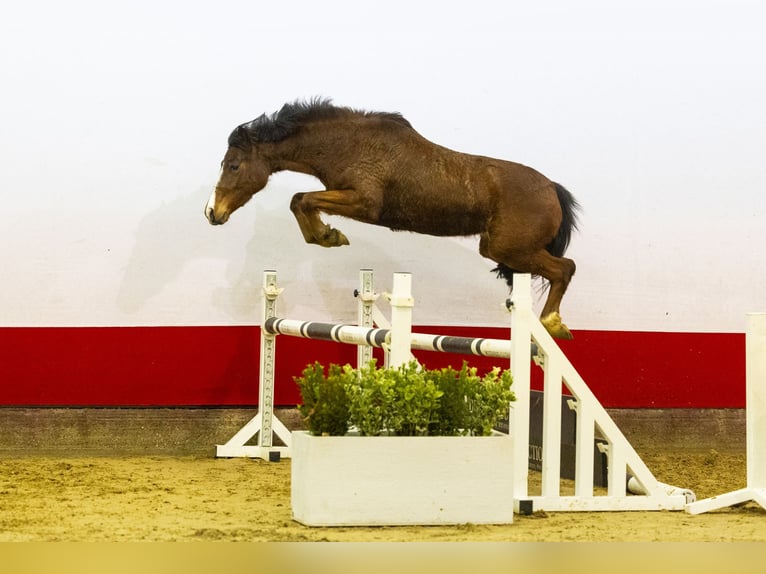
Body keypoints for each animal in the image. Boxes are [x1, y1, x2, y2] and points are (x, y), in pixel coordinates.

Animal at [206, 98, 584, 340]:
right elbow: (301, 201)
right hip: (497, 249)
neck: (346, 143)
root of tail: (551, 188)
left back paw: (552, 324)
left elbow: (301, 199)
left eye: (234, 165)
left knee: (565, 269)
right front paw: (327, 235)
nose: (212, 213)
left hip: (512, 249)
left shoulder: (364, 203)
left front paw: (329, 236)